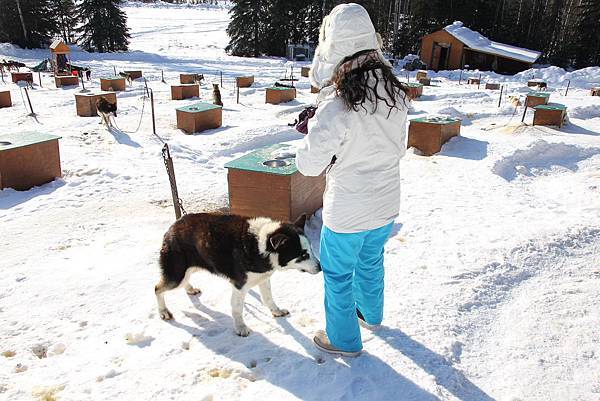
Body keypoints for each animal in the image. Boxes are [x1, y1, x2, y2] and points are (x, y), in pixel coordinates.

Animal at [157, 211, 322, 336]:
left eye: (311, 249)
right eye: (303, 254)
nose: (321, 268)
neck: (260, 246)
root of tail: (173, 225)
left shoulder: (263, 278)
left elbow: (268, 298)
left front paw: (276, 311)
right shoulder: (239, 285)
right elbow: (237, 309)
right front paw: (241, 328)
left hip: (190, 267)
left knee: (184, 279)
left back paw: (190, 289)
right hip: (176, 274)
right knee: (158, 288)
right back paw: (164, 312)